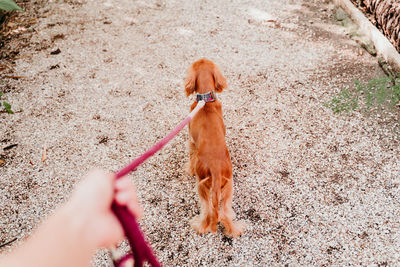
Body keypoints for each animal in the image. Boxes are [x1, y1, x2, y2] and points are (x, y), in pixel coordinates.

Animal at [184, 59, 244, 239]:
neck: (206, 102)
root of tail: (216, 169)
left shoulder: (191, 142)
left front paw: (188, 170)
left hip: (201, 186)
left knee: (208, 211)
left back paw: (199, 225)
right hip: (229, 185)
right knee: (224, 212)